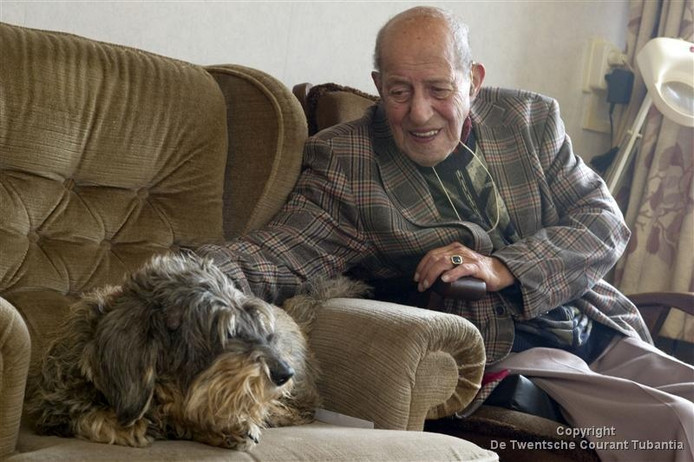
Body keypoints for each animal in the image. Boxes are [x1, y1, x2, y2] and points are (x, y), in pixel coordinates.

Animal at [27, 251, 358, 450]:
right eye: (225, 329)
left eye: (256, 322)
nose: (283, 373)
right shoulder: (52, 408)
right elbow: (85, 415)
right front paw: (125, 425)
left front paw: (231, 426)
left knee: (301, 411)